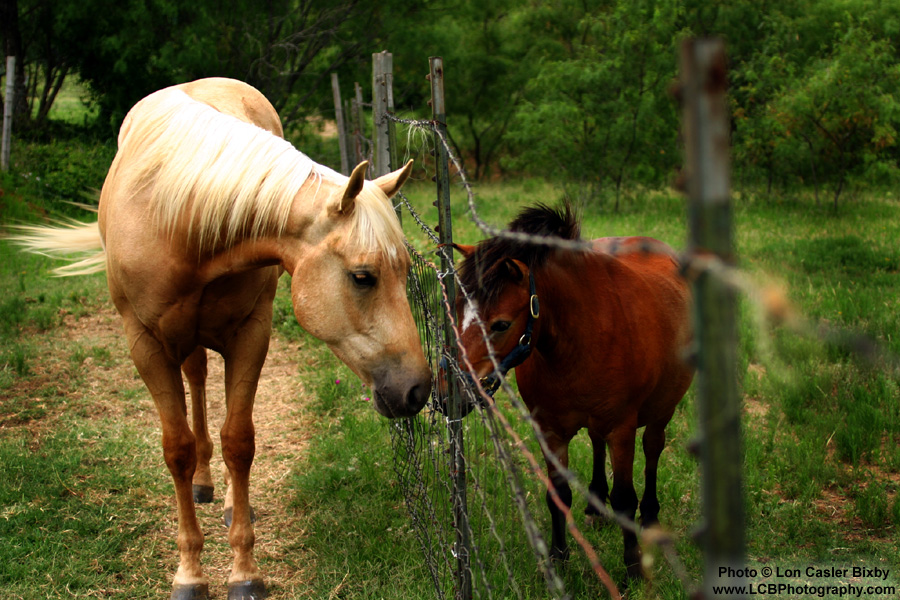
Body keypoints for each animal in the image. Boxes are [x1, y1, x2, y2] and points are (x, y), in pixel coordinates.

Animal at [11, 78, 432, 600]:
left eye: (405, 270)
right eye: (362, 276)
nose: (417, 389)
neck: (182, 218)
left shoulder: (250, 334)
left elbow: (240, 442)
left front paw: (244, 570)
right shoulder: (146, 344)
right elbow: (177, 449)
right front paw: (189, 573)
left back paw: (230, 499)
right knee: (195, 387)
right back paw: (203, 483)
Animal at [454, 204, 692, 580]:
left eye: (501, 324)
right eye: (457, 308)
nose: (449, 391)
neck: (580, 337)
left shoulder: (622, 430)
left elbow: (625, 500)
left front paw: (633, 567)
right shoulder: (550, 431)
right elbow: (558, 495)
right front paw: (557, 558)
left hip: (661, 410)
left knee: (653, 449)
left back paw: (651, 516)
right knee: (596, 442)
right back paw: (595, 504)